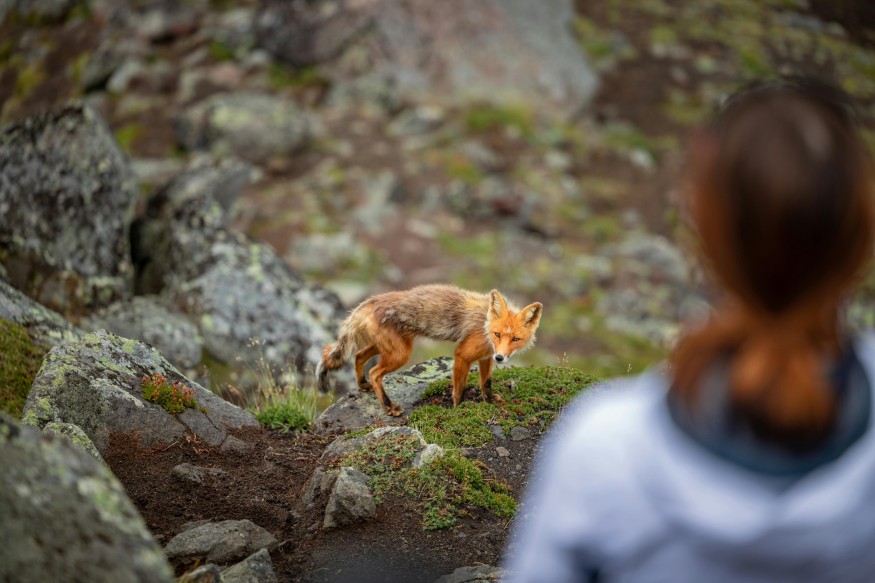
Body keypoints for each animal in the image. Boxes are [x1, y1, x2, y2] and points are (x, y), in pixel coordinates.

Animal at [316, 284, 543, 416]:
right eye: (497, 334)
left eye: (515, 339)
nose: (501, 357)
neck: (485, 326)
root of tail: (370, 301)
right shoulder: (463, 355)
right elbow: (459, 389)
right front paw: (458, 409)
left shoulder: (486, 357)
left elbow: (485, 384)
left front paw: (489, 402)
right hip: (400, 354)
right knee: (374, 372)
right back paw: (389, 406)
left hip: (387, 348)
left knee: (357, 356)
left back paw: (363, 385)